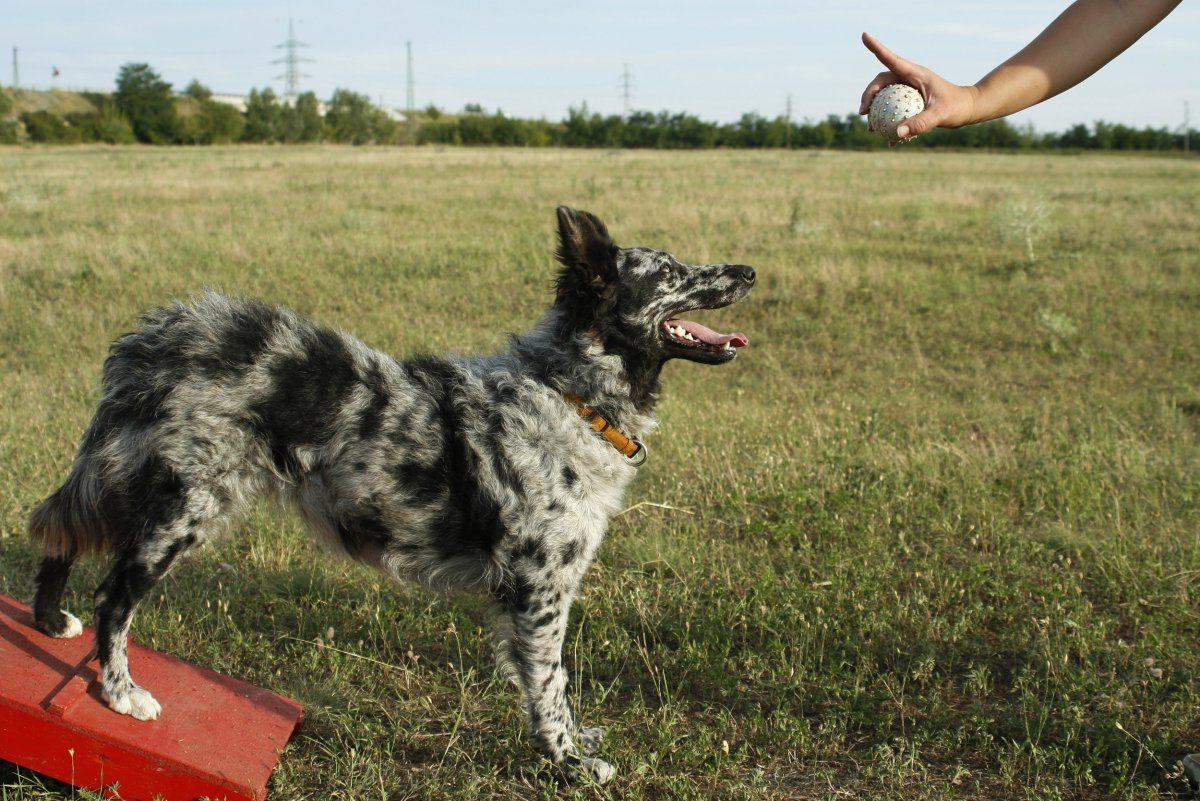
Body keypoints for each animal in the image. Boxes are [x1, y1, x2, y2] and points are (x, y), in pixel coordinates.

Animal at [28, 205, 753, 781]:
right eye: (671, 272)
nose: (747, 270)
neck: (567, 390)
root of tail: (160, 334)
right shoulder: (540, 589)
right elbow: (549, 685)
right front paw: (568, 762)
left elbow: (554, 687)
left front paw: (576, 740)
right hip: (183, 510)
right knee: (113, 597)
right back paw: (121, 691)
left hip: (129, 483)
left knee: (62, 533)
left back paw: (49, 620)